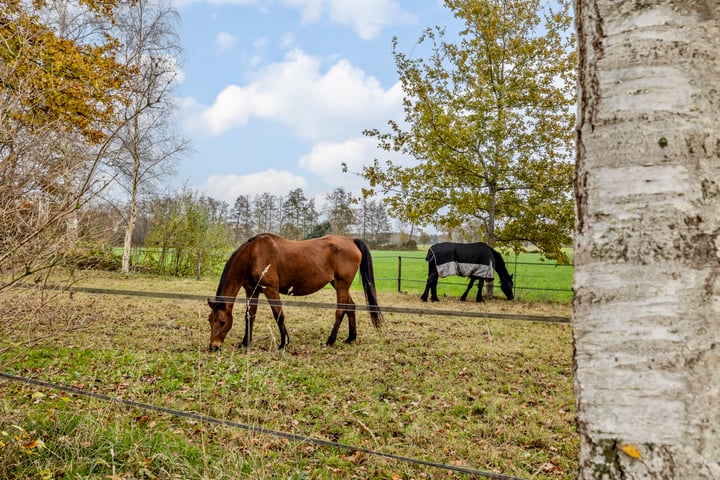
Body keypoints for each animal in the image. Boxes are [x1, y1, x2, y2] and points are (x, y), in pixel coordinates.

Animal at [205, 232, 386, 348]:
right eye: (210, 320)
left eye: (222, 322)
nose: (214, 346)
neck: (253, 255)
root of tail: (351, 240)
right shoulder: (252, 291)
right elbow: (250, 316)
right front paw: (245, 342)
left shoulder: (271, 290)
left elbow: (279, 315)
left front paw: (284, 342)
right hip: (338, 284)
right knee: (351, 307)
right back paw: (350, 338)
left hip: (341, 285)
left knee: (340, 311)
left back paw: (330, 340)